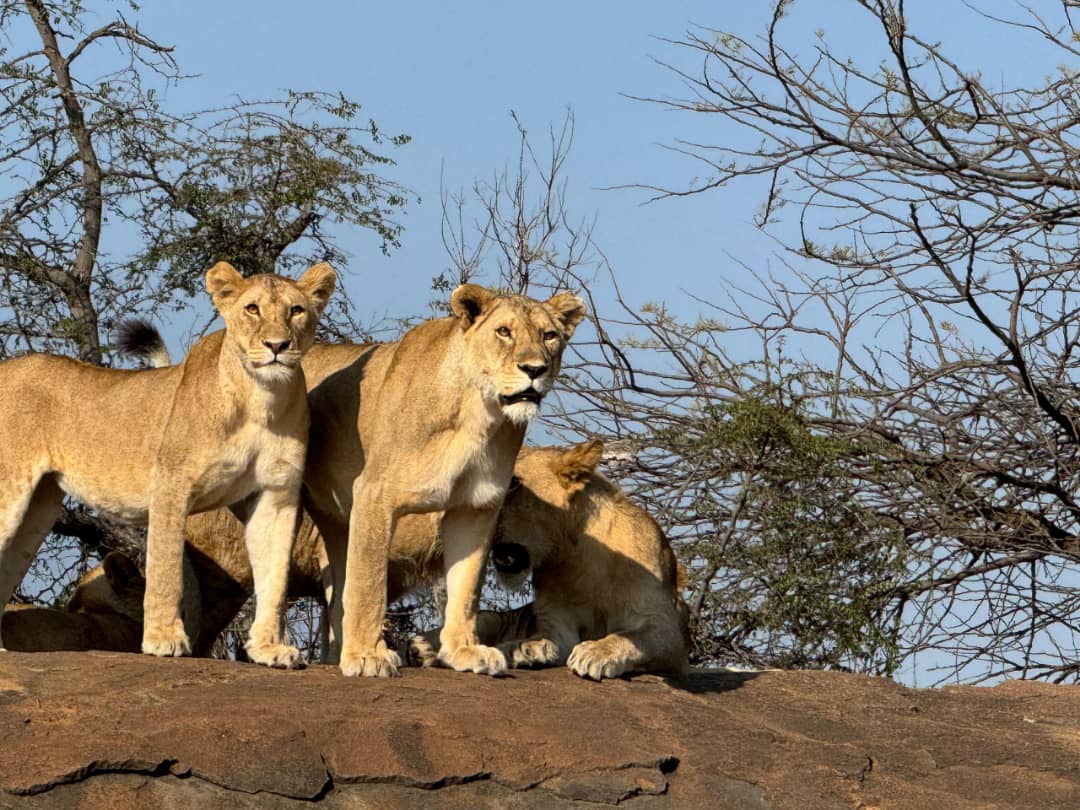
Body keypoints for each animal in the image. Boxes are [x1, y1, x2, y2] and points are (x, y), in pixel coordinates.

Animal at [0, 261, 336, 668]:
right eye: (252, 309)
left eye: (296, 310)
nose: (277, 346)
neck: (261, 398)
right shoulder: (171, 484)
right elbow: (167, 570)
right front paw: (164, 639)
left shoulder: (276, 492)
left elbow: (274, 576)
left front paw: (270, 648)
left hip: (37, 510)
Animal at [301, 284, 585, 677]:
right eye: (504, 331)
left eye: (549, 335)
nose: (535, 369)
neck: (478, 414)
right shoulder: (374, 494)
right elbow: (369, 583)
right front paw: (367, 656)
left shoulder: (475, 507)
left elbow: (465, 587)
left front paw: (463, 650)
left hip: (335, 525)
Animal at [409, 441, 691, 679]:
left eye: (512, 483)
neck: (577, 556)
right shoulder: (558, 622)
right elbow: (545, 637)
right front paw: (524, 648)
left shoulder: (666, 628)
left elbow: (628, 636)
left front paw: (595, 652)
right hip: (491, 618)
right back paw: (422, 647)